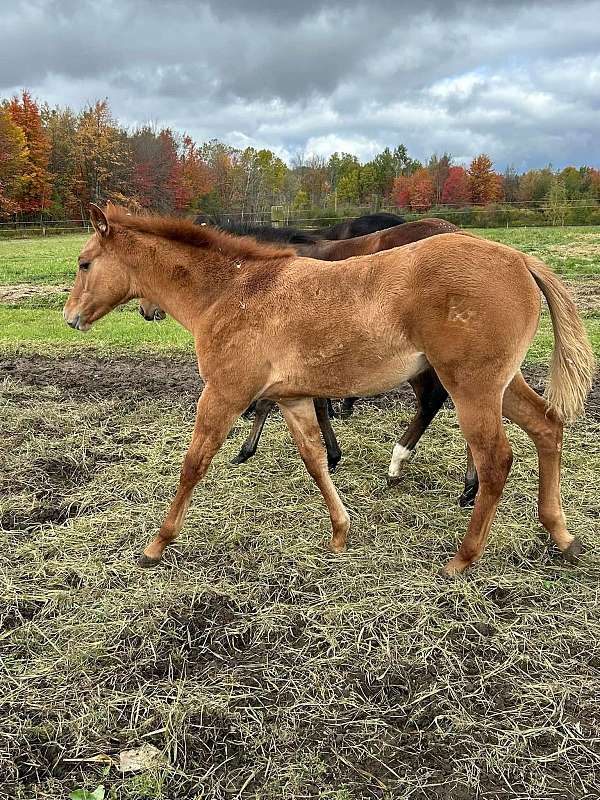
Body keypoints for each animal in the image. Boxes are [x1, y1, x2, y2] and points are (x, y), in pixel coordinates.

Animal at [63, 203, 592, 572]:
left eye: (85, 263)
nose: (71, 318)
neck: (233, 292)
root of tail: (519, 259)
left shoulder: (224, 393)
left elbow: (194, 464)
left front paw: (156, 545)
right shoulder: (292, 397)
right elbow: (316, 459)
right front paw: (340, 532)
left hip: (471, 386)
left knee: (494, 459)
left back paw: (462, 556)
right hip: (501, 384)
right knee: (547, 427)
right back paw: (561, 536)